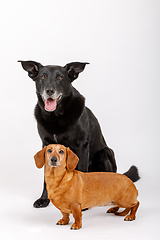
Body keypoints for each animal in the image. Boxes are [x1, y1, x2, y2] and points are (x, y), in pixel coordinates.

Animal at [18, 60, 139, 208]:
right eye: (43, 76)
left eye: (60, 77)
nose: (49, 91)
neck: (56, 116)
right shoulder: (46, 145)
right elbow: (46, 177)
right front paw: (44, 199)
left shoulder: (82, 145)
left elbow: (81, 169)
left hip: (104, 153)